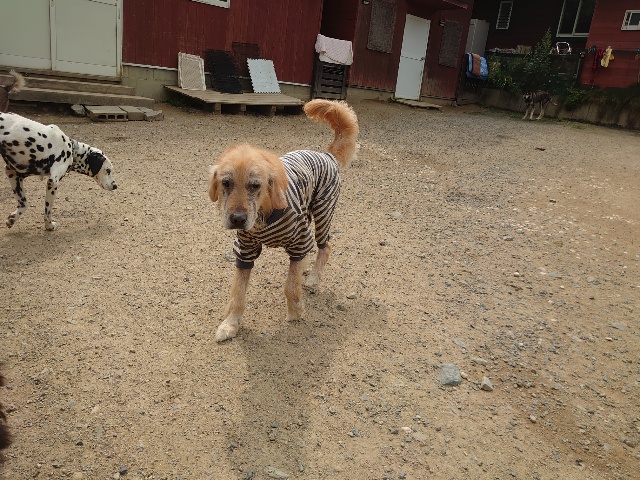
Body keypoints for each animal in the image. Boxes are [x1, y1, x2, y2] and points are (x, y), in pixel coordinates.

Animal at [208, 99, 359, 342]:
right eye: (226, 183)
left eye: (255, 185)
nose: (237, 219)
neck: (264, 214)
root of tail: (327, 155)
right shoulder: (244, 250)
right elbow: (237, 293)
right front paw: (230, 324)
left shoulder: (299, 241)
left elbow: (291, 285)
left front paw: (295, 312)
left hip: (323, 213)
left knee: (325, 247)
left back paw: (313, 278)